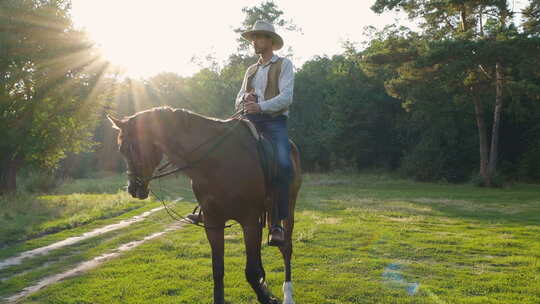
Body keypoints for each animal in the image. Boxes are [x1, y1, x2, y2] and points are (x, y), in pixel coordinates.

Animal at [107, 105, 302, 302]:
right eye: (121, 150)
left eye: (134, 147)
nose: (133, 188)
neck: (217, 162)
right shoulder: (213, 222)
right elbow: (218, 270)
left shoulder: (250, 220)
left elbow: (252, 272)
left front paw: (266, 296)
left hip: (288, 208)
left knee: (286, 248)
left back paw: (288, 295)